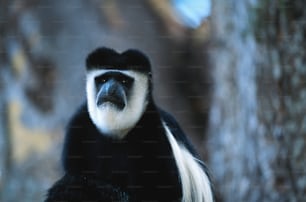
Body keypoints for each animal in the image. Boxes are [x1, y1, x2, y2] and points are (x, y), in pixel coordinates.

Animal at [44, 47, 213, 202]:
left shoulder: (155, 135)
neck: (116, 132)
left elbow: (162, 194)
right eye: (103, 80)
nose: (110, 89)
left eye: (124, 80)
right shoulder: (79, 124)